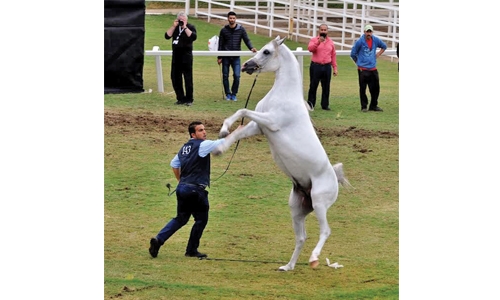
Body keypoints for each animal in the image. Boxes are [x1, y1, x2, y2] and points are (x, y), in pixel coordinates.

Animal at [213, 35, 350, 272]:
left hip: (319, 203)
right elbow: (239, 129)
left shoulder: (271, 122)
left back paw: (313, 259)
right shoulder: (259, 127)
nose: (247, 66)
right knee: (301, 237)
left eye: (267, 52)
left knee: (325, 231)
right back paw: (288, 266)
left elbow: (243, 110)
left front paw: (222, 135)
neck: (283, 95)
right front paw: (219, 145)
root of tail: (334, 178)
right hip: (298, 208)